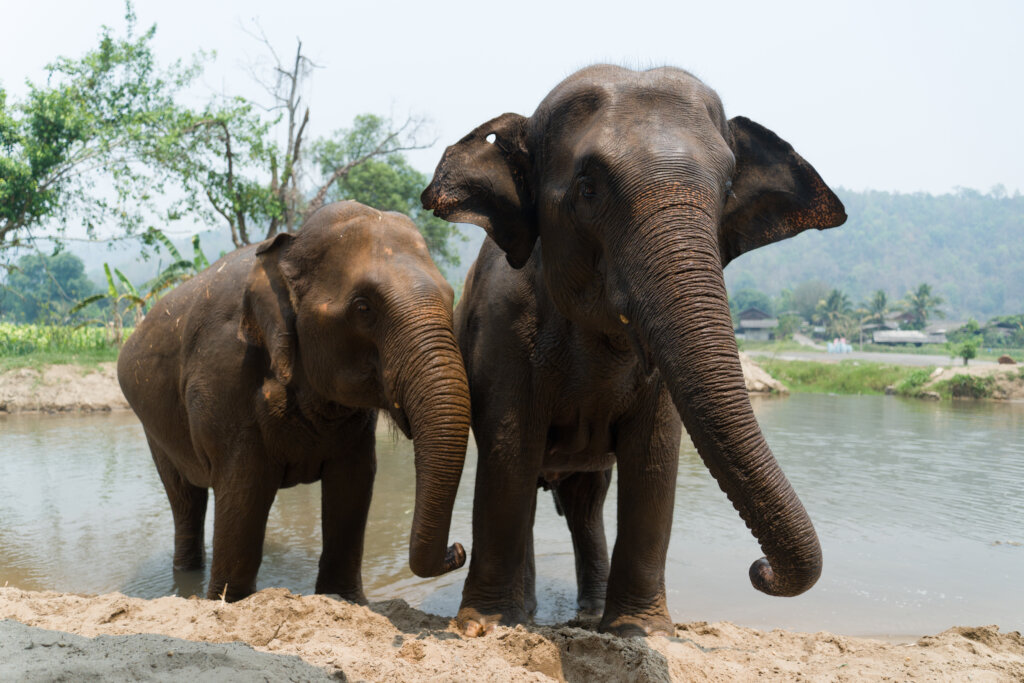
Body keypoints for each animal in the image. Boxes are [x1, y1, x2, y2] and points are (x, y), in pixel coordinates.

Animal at [117, 201, 470, 603]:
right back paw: (187, 579)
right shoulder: (224, 379)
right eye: (363, 308)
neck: (290, 245)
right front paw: (229, 602)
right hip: (153, 428)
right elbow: (244, 493)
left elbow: (355, 483)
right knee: (185, 499)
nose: (458, 550)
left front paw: (346, 599)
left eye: (451, 297)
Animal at [421, 64, 846, 637]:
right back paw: (529, 613)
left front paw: (639, 630)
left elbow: (654, 458)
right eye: (587, 188)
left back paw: (589, 614)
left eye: (727, 187)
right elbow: (509, 451)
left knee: (586, 500)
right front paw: (482, 626)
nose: (760, 569)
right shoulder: (502, 330)